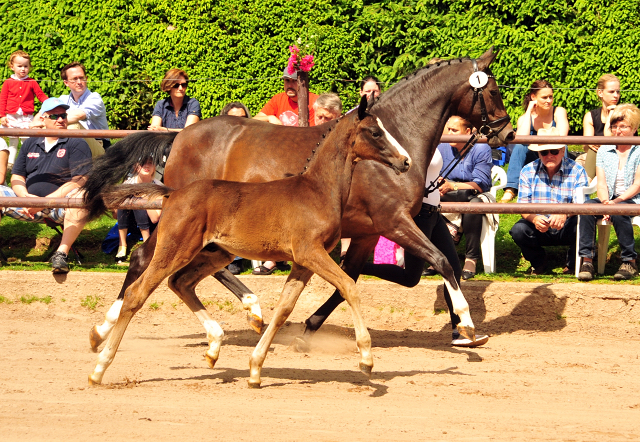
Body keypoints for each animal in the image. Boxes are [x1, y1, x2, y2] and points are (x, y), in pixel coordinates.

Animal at [84, 48, 516, 352]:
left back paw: (250, 312)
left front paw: (307, 328)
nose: (508, 133)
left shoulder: (366, 232)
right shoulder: (393, 221)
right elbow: (441, 261)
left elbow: (349, 277)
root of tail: (179, 138)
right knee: (149, 258)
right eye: (493, 90)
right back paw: (107, 328)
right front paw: (467, 324)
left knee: (172, 263)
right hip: (186, 224)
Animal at [89, 101, 410, 386]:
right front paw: (366, 358)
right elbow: (349, 287)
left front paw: (255, 369)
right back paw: (100, 366)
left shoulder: (303, 263)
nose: (405, 161)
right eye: (375, 132)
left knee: (180, 283)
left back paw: (214, 346)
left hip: (214, 253)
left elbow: (283, 309)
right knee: (137, 291)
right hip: (176, 248)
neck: (317, 190)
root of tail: (172, 193)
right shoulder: (311, 252)